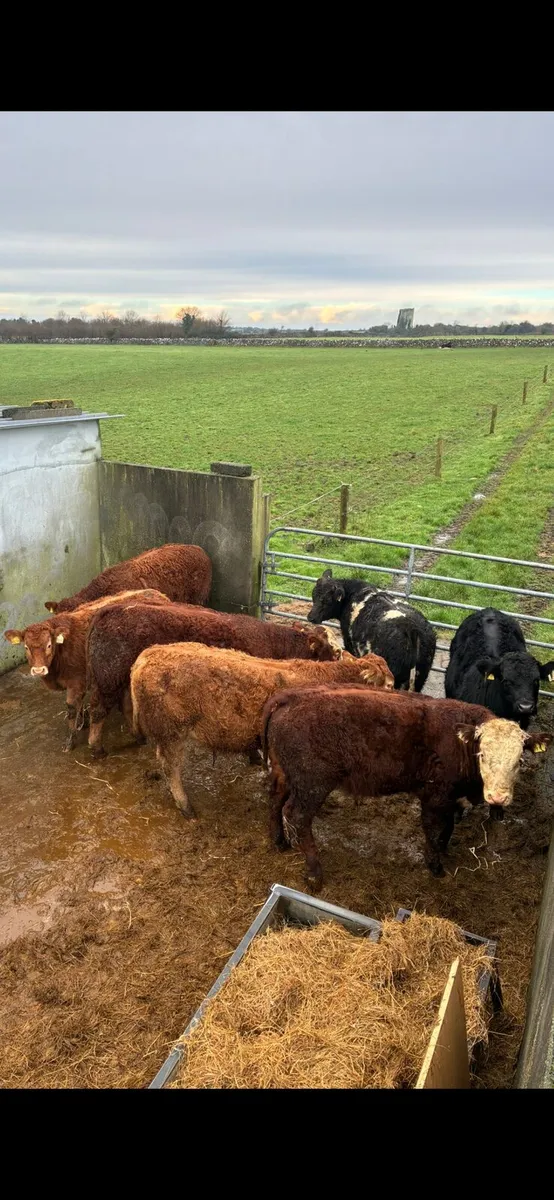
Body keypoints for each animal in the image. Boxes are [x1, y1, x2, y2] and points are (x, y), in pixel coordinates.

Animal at [4, 589, 169, 750]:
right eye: (26, 647)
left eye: (49, 645)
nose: (38, 670)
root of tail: (153, 592)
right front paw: (82, 722)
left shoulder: (76, 681)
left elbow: (71, 708)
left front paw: (70, 740)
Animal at [85, 603, 342, 756]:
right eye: (336, 652)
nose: (343, 661)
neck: (274, 641)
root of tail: (110, 610)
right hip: (108, 678)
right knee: (98, 709)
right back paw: (97, 747)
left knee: (126, 704)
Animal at [262, 686, 551, 889]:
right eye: (482, 754)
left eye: (519, 760)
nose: (498, 797)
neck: (460, 744)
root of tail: (291, 697)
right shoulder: (435, 796)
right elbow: (434, 829)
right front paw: (435, 867)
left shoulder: (449, 797)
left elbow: (448, 827)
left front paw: (443, 850)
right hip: (313, 784)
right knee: (298, 816)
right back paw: (314, 873)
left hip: (285, 773)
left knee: (275, 799)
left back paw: (280, 842)